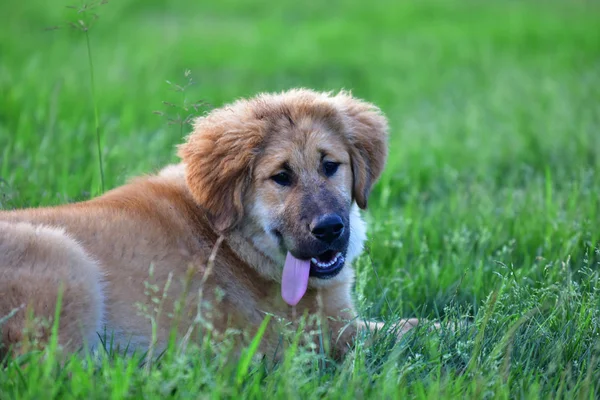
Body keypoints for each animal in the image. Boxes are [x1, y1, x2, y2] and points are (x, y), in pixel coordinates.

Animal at [0, 90, 420, 360]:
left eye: (330, 166)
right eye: (281, 177)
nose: (330, 229)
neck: (232, 240)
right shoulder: (327, 335)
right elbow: (411, 330)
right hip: (67, 264)